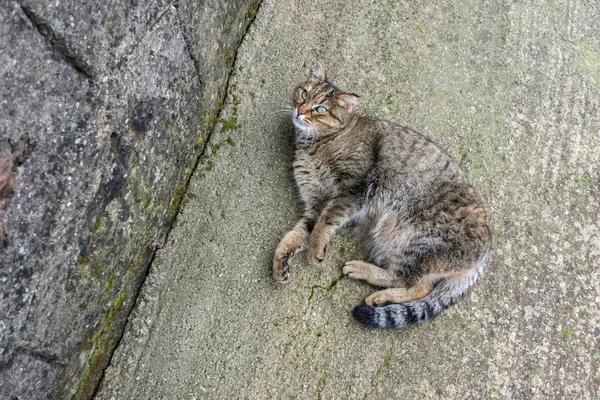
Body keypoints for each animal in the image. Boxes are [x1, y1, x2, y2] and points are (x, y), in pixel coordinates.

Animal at [274, 63, 492, 328]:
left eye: (321, 109)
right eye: (304, 94)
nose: (299, 110)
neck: (317, 143)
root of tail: (487, 252)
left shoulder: (354, 189)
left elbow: (324, 223)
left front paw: (315, 248)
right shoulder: (315, 202)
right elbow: (299, 233)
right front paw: (281, 259)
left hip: (410, 241)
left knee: (409, 282)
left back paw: (368, 279)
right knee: (420, 286)